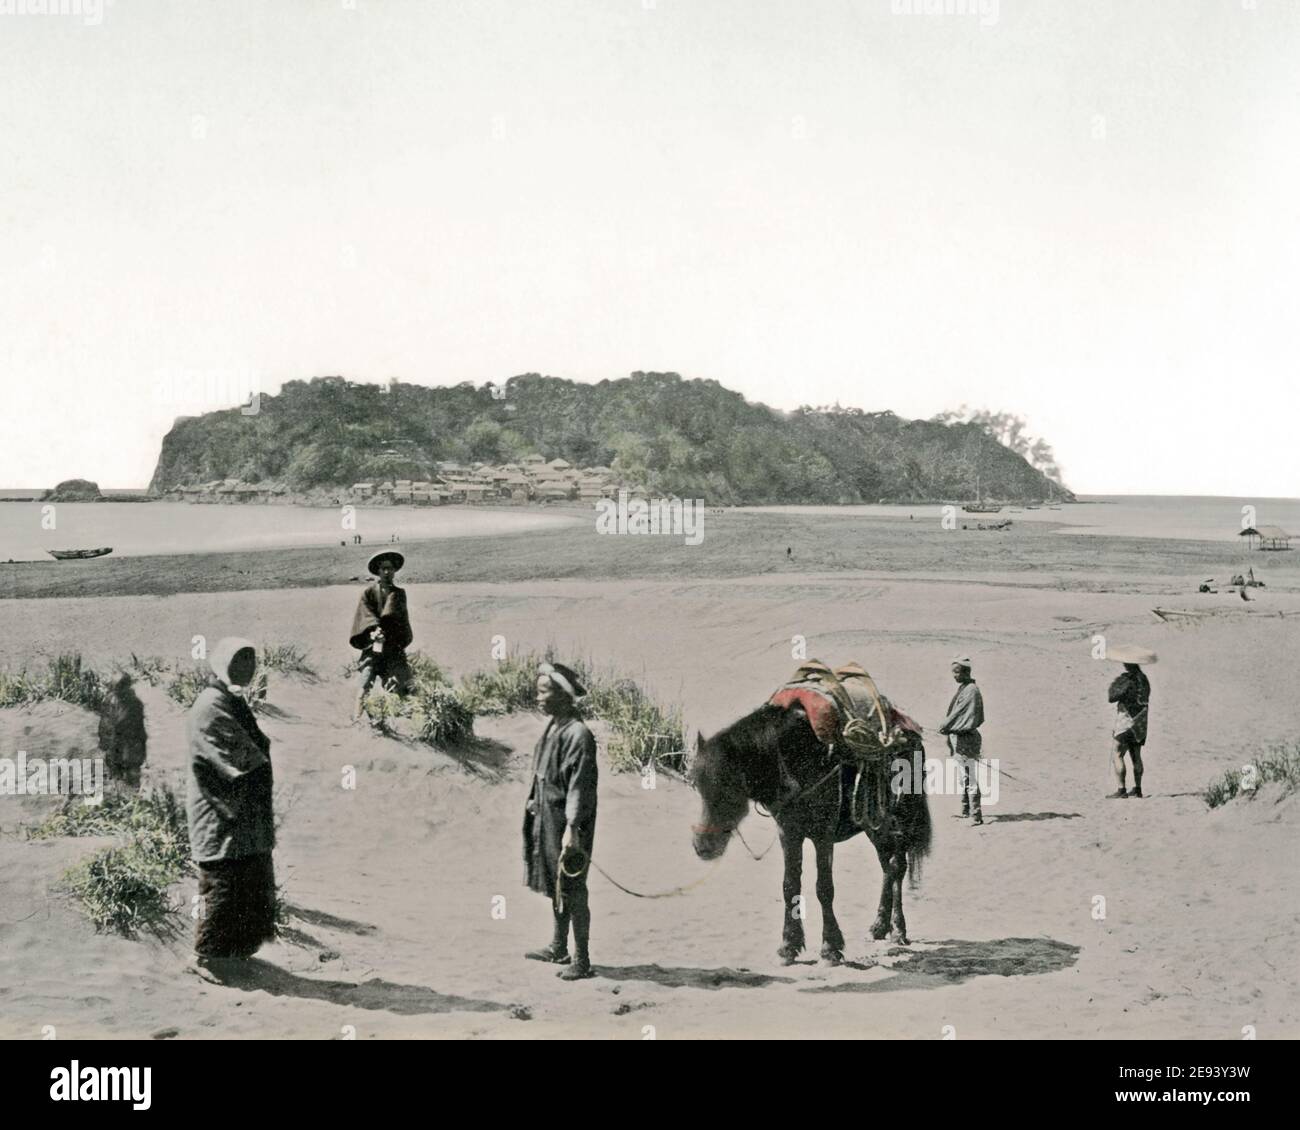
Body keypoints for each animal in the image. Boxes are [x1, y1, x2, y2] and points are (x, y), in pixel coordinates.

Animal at [696, 702, 930, 957]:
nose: (702, 845)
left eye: (727, 786)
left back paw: (898, 930)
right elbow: (790, 885)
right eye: (698, 785)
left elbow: (824, 887)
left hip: (899, 820)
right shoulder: (788, 833)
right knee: (887, 867)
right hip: (874, 826)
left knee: (897, 867)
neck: (794, 760)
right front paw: (789, 944)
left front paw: (830, 946)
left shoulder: (823, 835)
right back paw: (878, 926)